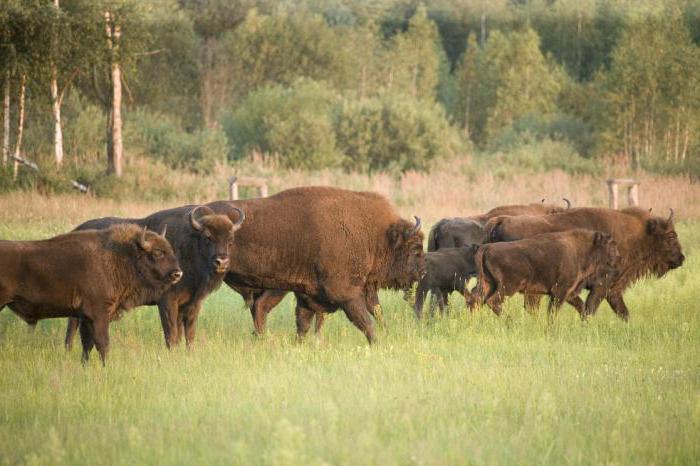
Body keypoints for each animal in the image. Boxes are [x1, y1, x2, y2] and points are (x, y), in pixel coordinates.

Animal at [65, 206, 245, 348]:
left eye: (230, 239)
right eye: (207, 237)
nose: (221, 262)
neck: (191, 243)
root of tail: (75, 230)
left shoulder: (192, 304)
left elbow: (189, 335)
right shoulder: (167, 302)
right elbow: (172, 335)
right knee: (72, 325)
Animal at [205, 185, 424, 342]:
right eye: (415, 248)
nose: (422, 272)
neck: (373, 234)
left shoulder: (310, 295)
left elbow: (304, 324)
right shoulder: (346, 293)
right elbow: (365, 321)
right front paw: (377, 344)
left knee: (258, 308)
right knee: (259, 308)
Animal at [468, 228, 620, 316]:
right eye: (610, 245)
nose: (618, 258)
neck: (581, 248)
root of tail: (486, 247)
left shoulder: (569, 292)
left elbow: (581, 305)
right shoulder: (560, 291)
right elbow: (553, 312)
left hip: (487, 283)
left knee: (476, 299)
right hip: (508, 286)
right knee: (492, 301)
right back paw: (511, 321)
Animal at [484, 208, 688, 320]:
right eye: (671, 235)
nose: (681, 258)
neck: (638, 235)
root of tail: (500, 220)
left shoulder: (611, 289)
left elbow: (622, 311)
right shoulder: (603, 285)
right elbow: (590, 308)